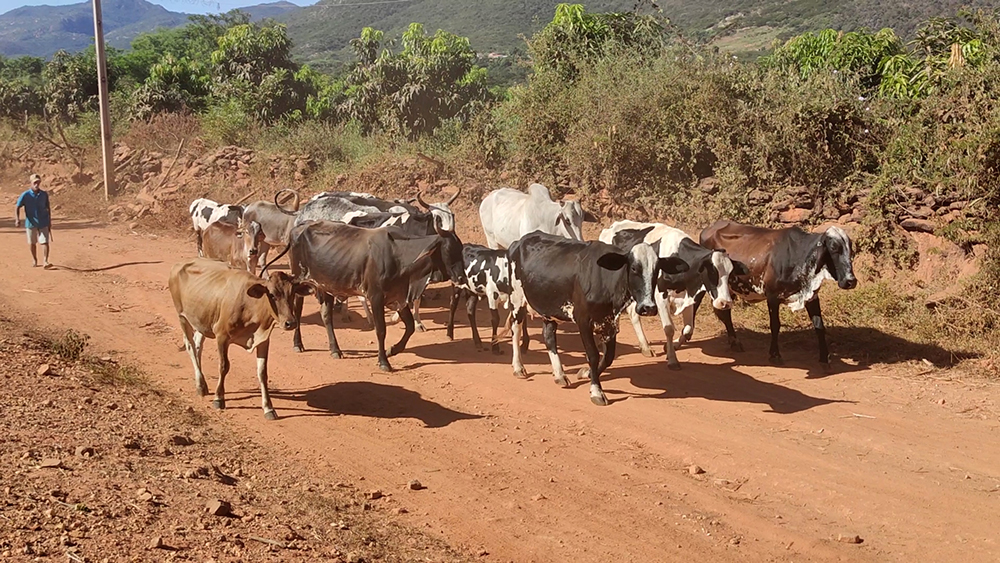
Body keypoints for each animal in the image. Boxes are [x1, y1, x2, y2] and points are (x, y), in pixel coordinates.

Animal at [169, 258, 312, 420]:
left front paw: (268, 408)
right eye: (272, 295)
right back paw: (200, 385)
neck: (250, 306)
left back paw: (203, 384)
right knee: (191, 347)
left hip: (202, 322)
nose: (290, 323)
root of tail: (180, 264)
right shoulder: (221, 336)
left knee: (198, 345)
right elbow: (224, 366)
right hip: (182, 317)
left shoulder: (263, 340)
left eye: (292, 293)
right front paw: (219, 399)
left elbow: (262, 373)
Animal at [508, 231, 688, 408]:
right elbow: (593, 355)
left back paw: (559, 374)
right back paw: (518, 367)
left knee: (549, 337)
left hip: (549, 309)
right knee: (516, 331)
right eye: (634, 268)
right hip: (517, 299)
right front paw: (596, 391)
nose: (648, 307)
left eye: (657, 270)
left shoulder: (610, 324)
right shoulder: (584, 322)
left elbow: (608, 358)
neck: (606, 281)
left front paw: (587, 373)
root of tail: (519, 241)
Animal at [596, 220, 748, 370]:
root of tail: (611, 226)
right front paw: (673, 360)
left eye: (730, 274)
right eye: (712, 272)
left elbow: (688, 329)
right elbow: (669, 328)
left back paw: (645, 347)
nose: (725, 302)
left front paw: (671, 348)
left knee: (633, 313)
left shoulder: (688, 297)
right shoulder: (660, 297)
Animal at [696, 218, 860, 368]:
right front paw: (775, 355)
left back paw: (734, 342)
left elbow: (819, 326)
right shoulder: (772, 296)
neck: (798, 257)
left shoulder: (812, 296)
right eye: (833, 248)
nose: (850, 281)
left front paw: (825, 358)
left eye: (850, 248)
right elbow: (775, 325)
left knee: (725, 313)